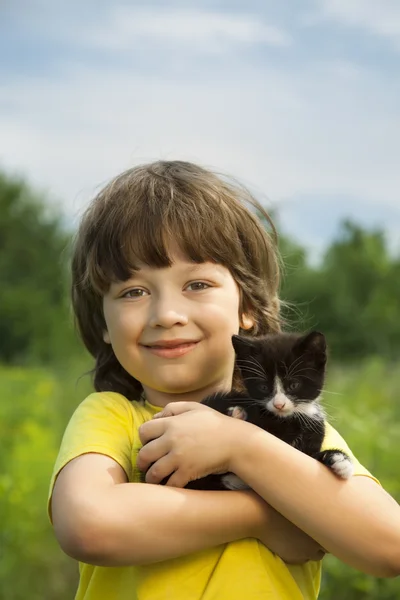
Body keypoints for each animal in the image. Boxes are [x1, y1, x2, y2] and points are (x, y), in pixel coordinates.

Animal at [185, 328, 354, 492]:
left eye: (293, 385)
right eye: (263, 387)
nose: (279, 404)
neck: (288, 419)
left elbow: (312, 456)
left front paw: (340, 460)